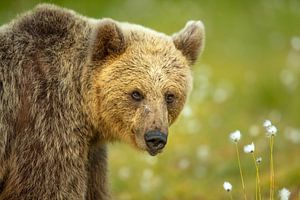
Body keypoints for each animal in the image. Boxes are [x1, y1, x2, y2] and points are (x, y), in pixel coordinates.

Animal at [0, 3, 205, 200]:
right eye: (136, 93)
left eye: (170, 96)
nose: (155, 138)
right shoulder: (44, 124)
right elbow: (48, 189)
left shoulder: (91, 155)